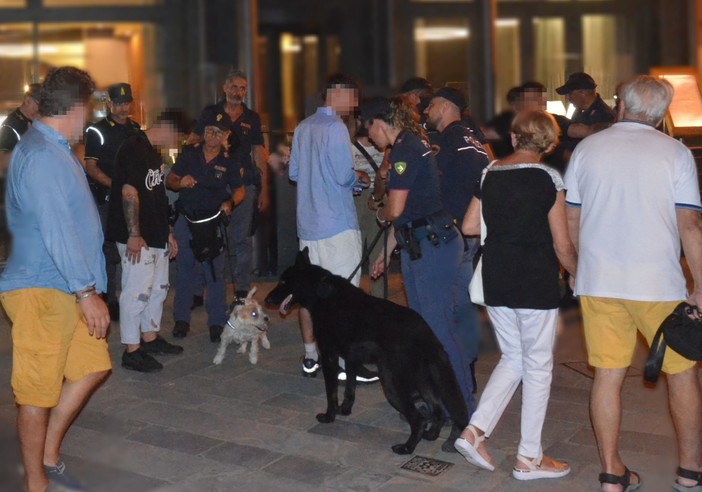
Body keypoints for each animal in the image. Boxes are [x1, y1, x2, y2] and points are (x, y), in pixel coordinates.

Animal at [266, 248, 470, 456]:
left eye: (283, 282)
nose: (266, 300)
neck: (321, 291)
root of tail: (424, 331)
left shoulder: (330, 357)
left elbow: (331, 392)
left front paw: (330, 415)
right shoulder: (350, 358)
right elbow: (350, 387)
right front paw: (345, 409)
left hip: (391, 383)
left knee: (419, 418)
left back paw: (407, 447)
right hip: (423, 382)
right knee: (438, 410)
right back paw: (430, 436)